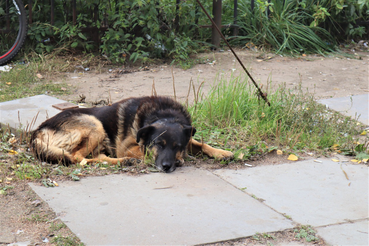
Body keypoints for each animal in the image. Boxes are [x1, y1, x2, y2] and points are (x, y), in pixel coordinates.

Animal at [30, 95, 233, 172]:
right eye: (158, 144)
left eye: (178, 146)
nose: (167, 167)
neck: (164, 114)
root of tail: (38, 132)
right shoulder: (127, 147)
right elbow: (146, 153)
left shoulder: (187, 137)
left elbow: (201, 143)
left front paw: (222, 152)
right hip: (95, 125)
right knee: (78, 157)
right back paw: (125, 161)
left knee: (94, 156)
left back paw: (122, 162)